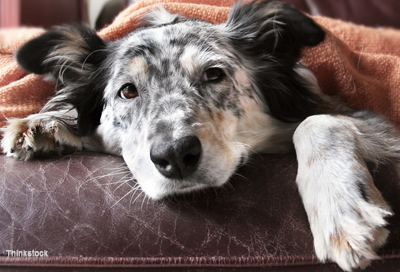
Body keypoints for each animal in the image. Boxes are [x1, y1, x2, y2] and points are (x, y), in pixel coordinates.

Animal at [1, 1, 398, 270]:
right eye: (127, 91)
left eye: (214, 74)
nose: (175, 156)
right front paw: (45, 122)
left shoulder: (376, 124)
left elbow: (316, 121)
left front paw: (341, 208)